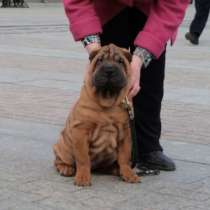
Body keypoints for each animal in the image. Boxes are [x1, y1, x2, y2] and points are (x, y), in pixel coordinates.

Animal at [53, 44, 140, 185]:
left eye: (120, 61)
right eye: (100, 60)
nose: (109, 69)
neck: (107, 98)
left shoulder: (125, 134)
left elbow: (124, 157)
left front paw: (128, 173)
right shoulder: (81, 131)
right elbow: (83, 158)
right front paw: (83, 178)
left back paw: (116, 169)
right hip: (64, 146)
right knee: (60, 160)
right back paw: (66, 168)